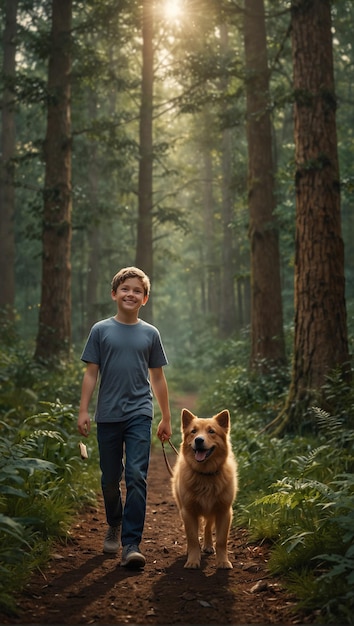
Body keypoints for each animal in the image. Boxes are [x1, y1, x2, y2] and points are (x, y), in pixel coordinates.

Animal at [171, 408, 238, 568]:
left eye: (211, 431)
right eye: (193, 431)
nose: (199, 440)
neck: (206, 475)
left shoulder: (224, 511)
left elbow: (221, 541)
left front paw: (223, 561)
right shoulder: (188, 512)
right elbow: (193, 539)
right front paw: (193, 560)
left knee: (207, 527)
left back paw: (208, 545)